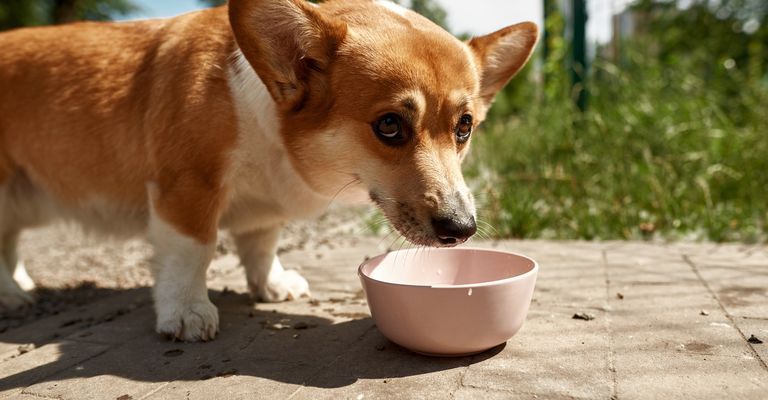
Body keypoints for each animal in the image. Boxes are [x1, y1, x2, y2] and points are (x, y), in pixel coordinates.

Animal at [0, 0, 536, 340]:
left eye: (464, 127)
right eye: (389, 125)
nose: (461, 229)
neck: (263, 114)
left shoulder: (262, 210)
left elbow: (260, 248)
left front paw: (272, 286)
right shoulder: (186, 189)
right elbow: (192, 253)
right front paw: (187, 313)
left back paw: (19, 285)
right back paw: (11, 296)